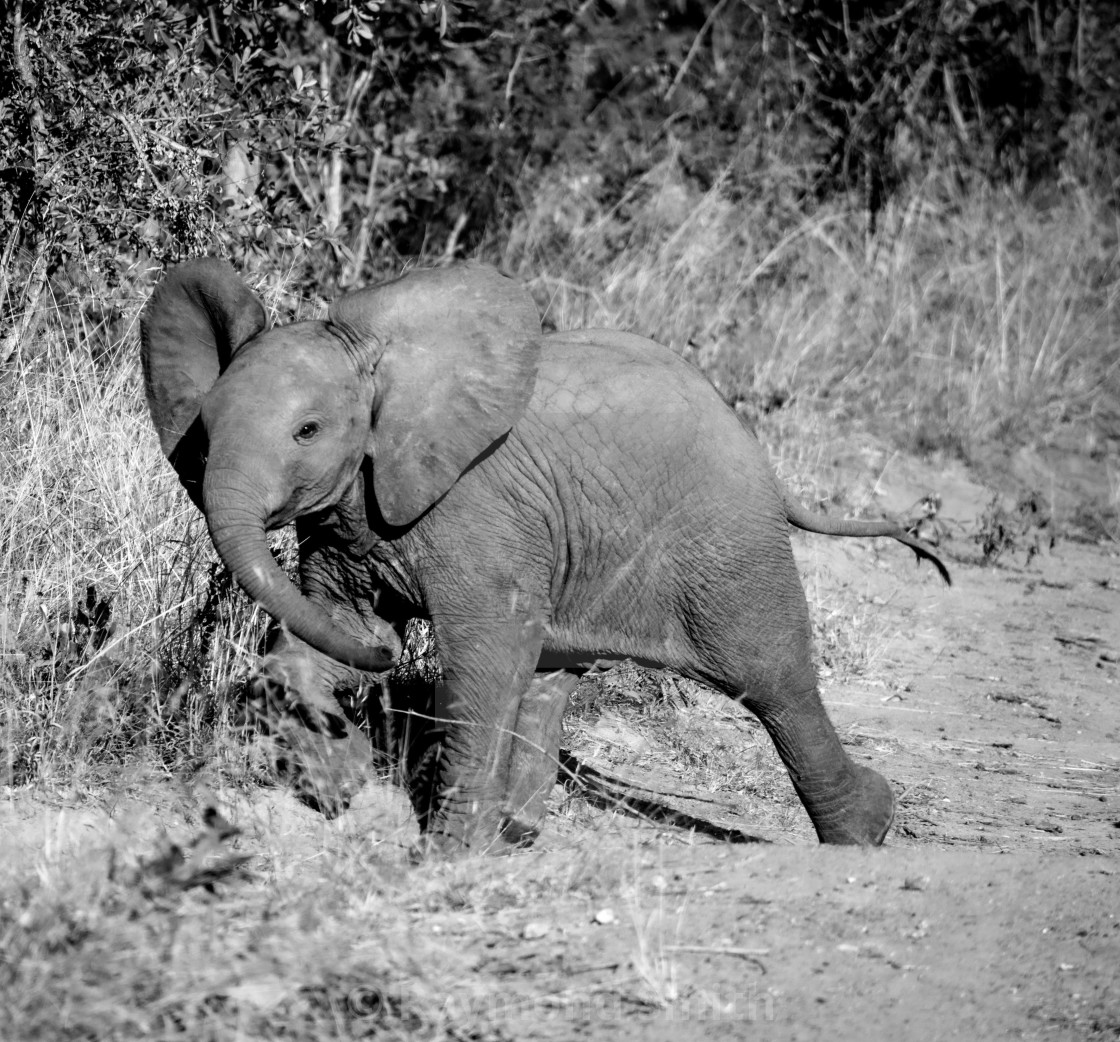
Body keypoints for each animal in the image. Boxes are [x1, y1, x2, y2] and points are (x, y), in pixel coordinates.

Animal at [137, 255, 945, 847]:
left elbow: (487, 653)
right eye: (204, 432)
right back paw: (518, 834)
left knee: (771, 679)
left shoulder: (478, 510)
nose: (388, 661)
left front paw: (447, 857)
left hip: (725, 534)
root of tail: (756, 446)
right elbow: (332, 631)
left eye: (307, 430)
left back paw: (868, 831)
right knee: (554, 674)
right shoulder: (345, 521)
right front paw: (341, 780)